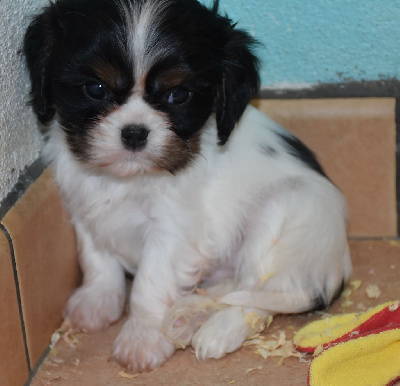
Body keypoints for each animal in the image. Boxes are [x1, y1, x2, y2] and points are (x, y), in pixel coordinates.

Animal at [23, 0, 352, 370]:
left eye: (178, 94)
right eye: (96, 89)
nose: (134, 133)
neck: (128, 178)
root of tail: (341, 262)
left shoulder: (170, 230)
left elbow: (149, 282)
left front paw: (143, 338)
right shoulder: (83, 204)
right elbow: (95, 256)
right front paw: (97, 302)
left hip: (282, 211)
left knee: (260, 292)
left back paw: (216, 331)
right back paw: (188, 316)